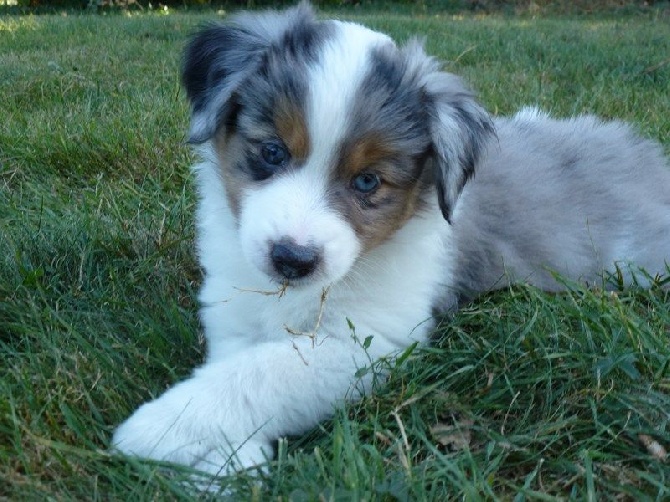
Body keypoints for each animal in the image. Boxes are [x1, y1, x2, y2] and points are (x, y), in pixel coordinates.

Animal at [111, 2, 670, 474]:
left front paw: (162, 427)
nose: (293, 259)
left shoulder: (370, 342)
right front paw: (224, 464)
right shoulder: (236, 310)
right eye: (271, 151)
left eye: (367, 182)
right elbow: (235, 365)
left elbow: (263, 372)